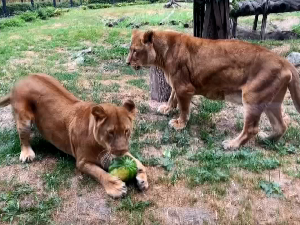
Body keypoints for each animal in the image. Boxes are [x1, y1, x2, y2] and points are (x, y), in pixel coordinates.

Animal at [0, 73, 149, 197]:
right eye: (110, 133)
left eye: (126, 131)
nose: (122, 150)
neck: (101, 145)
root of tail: (22, 79)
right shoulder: (82, 162)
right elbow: (100, 173)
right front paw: (116, 187)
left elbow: (138, 162)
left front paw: (142, 179)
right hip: (23, 119)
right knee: (23, 138)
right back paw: (27, 154)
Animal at [126, 29, 300, 149]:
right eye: (130, 49)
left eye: (135, 50)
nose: (127, 63)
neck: (162, 52)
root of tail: (284, 61)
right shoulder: (177, 84)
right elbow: (172, 97)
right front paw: (167, 109)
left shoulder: (184, 88)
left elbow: (183, 108)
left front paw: (179, 124)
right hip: (271, 102)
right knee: (280, 126)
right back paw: (266, 140)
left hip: (253, 97)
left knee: (251, 129)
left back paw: (232, 145)